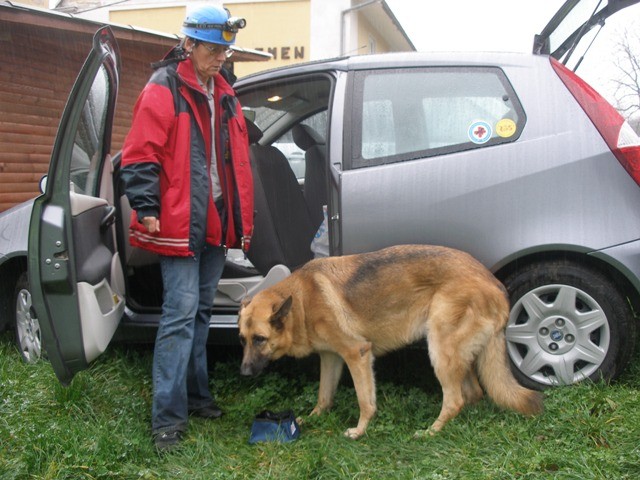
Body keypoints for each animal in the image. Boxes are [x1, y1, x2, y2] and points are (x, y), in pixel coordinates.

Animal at [238, 246, 544, 436]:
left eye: (260, 339)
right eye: (243, 339)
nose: (243, 373)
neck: (302, 300)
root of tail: (495, 284)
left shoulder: (357, 354)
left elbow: (365, 400)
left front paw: (360, 431)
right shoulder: (332, 358)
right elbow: (324, 395)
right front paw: (313, 418)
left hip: (440, 351)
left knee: (455, 399)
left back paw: (432, 431)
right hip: (456, 353)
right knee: (473, 393)